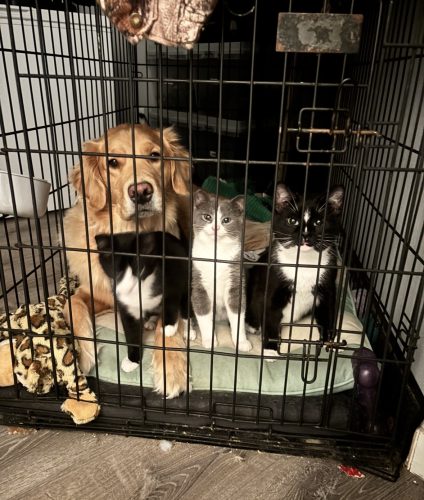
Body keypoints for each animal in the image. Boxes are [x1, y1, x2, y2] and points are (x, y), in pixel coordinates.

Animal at [96, 231, 191, 372]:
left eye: (138, 270)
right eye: (117, 271)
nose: (127, 286)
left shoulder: (172, 276)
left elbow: (171, 298)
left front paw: (168, 327)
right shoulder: (126, 306)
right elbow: (131, 331)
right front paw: (132, 360)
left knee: (186, 306)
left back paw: (189, 331)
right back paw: (151, 321)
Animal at [191, 189, 252, 352]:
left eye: (226, 220)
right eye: (207, 217)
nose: (215, 228)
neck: (216, 253)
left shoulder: (235, 276)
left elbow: (237, 311)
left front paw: (241, 342)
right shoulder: (198, 280)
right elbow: (202, 311)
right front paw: (209, 341)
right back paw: (190, 332)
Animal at [246, 183, 344, 354]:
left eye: (319, 222)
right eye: (292, 221)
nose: (305, 235)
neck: (303, 264)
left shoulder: (327, 285)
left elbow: (328, 314)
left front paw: (331, 343)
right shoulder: (273, 283)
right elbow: (270, 314)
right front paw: (271, 350)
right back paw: (252, 326)